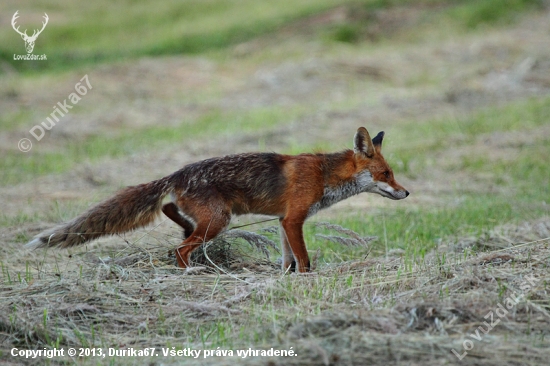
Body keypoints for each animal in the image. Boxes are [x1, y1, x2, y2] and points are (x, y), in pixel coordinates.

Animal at [27, 127, 410, 274]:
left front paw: (285, 279)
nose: (407, 193)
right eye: (387, 173)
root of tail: (177, 173)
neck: (324, 175)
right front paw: (305, 280)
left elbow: (287, 259)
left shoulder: (284, 221)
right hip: (217, 221)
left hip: (209, 217)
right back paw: (189, 272)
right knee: (179, 249)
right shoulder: (294, 219)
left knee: (171, 212)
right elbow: (303, 260)